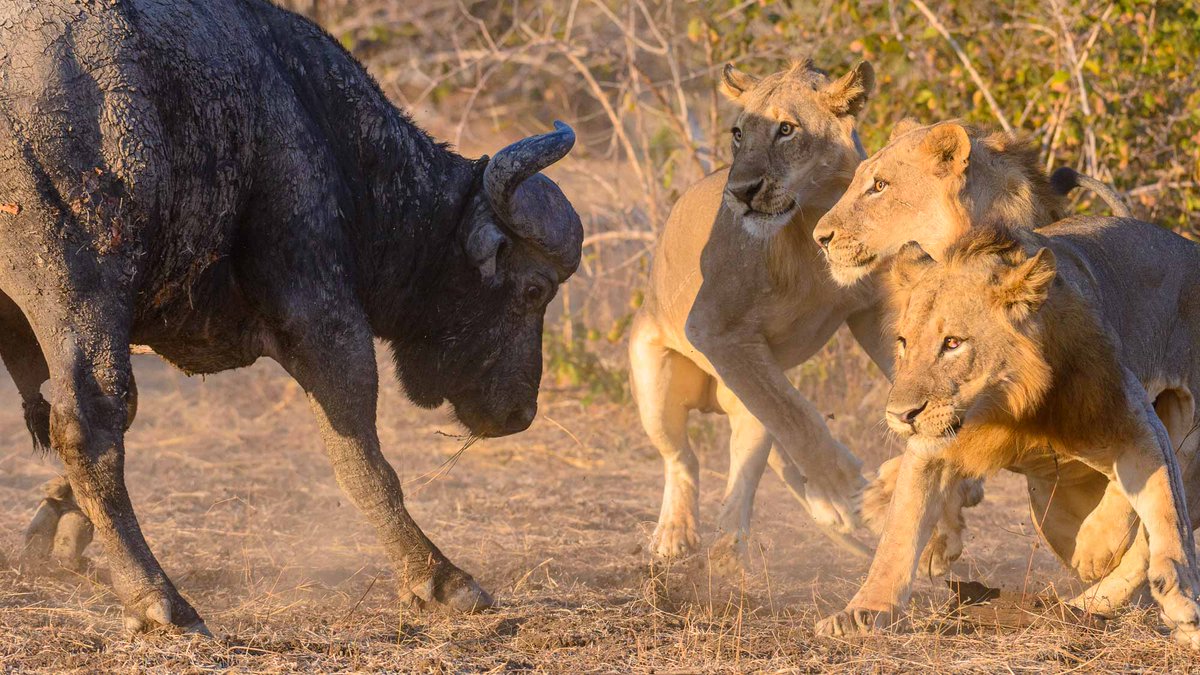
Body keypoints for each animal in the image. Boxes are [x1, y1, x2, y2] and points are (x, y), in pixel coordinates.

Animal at [0, 0, 580, 634]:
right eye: (534, 290)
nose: (522, 413)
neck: (320, 123)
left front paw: (57, 527)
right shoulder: (323, 316)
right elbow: (363, 462)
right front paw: (440, 579)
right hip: (80, 291)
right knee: (87, 423)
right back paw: (161, 599)